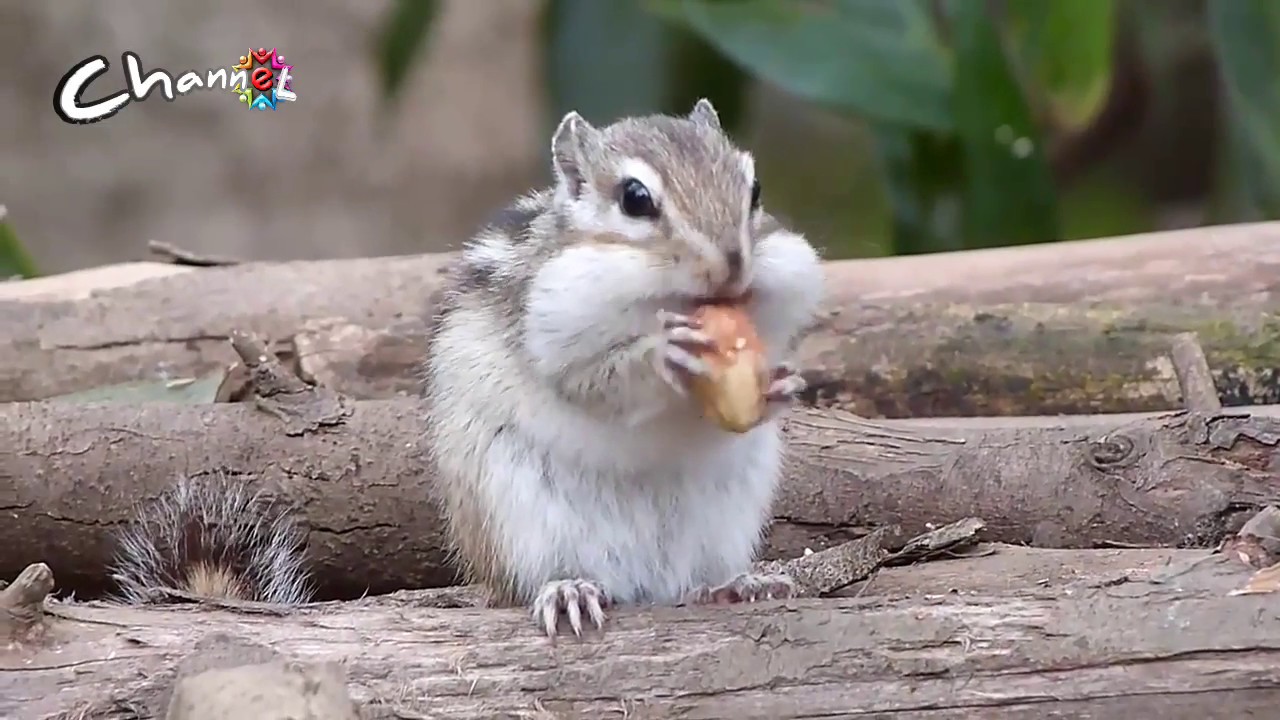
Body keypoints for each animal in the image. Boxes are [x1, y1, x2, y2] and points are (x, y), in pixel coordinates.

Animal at [421, 98, 825, 639]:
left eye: (755, 190)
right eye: (635, 199)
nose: (734, 264)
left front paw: (782, 384)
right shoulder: (554, 329)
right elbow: (597, 382)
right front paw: (662, 355)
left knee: (696, 578)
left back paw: (739, 585)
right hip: (516, 514)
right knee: (538, 578)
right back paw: (569, 590)